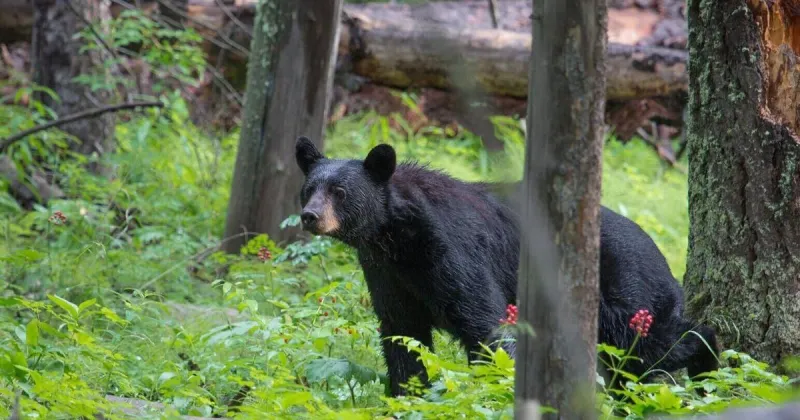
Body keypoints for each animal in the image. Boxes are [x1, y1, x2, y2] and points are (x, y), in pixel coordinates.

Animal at [294, 136, 718, 397]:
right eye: (309, 188)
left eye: (340, 191)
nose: (309, 216)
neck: (396, 235)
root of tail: (663, 259)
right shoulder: (387, 273)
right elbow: (402, 336)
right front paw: (407, 396)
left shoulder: (453, 252)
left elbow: (486, 323)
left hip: (626, 292)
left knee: (652, 346)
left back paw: (709, 365)